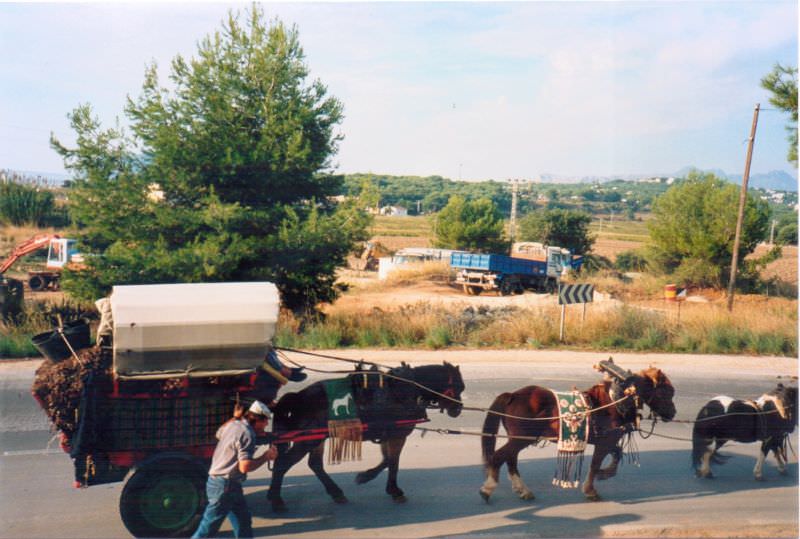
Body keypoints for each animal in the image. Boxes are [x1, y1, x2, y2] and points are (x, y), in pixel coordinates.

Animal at [482, 364, 676, 504]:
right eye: (667, 392)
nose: (673, 413)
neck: (617, 400)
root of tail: (512, 395)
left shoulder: (608, 439)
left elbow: (616, 454)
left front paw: (606, 473)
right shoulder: (605, 441)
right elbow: (596, 464)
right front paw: (591, 489)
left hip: (518, 439)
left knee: (510, 459)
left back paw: (522, 490)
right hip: (520, 439)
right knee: (500, 456)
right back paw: (488, 488)